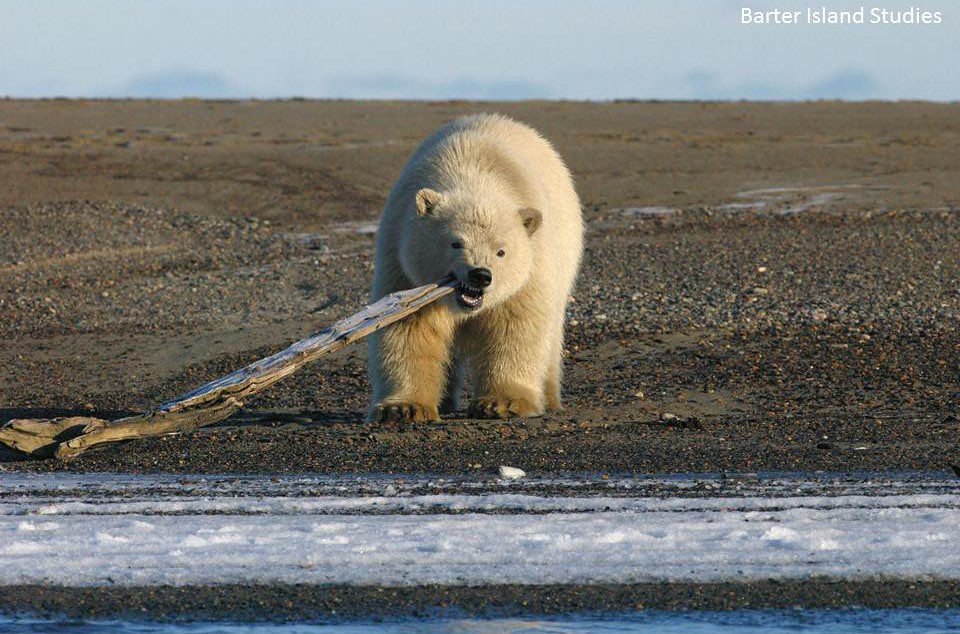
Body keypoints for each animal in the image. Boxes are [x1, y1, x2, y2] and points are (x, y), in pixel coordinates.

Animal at [366, 113, 580, 420]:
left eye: (501, 251)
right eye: (456, 243)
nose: (480, 275)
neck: (473, 173)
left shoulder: (531, 266)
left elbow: (515, 326)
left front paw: (502, 402)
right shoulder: (402, 260)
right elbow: (409, 328)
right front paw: (403, 407)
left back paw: (548, 397)